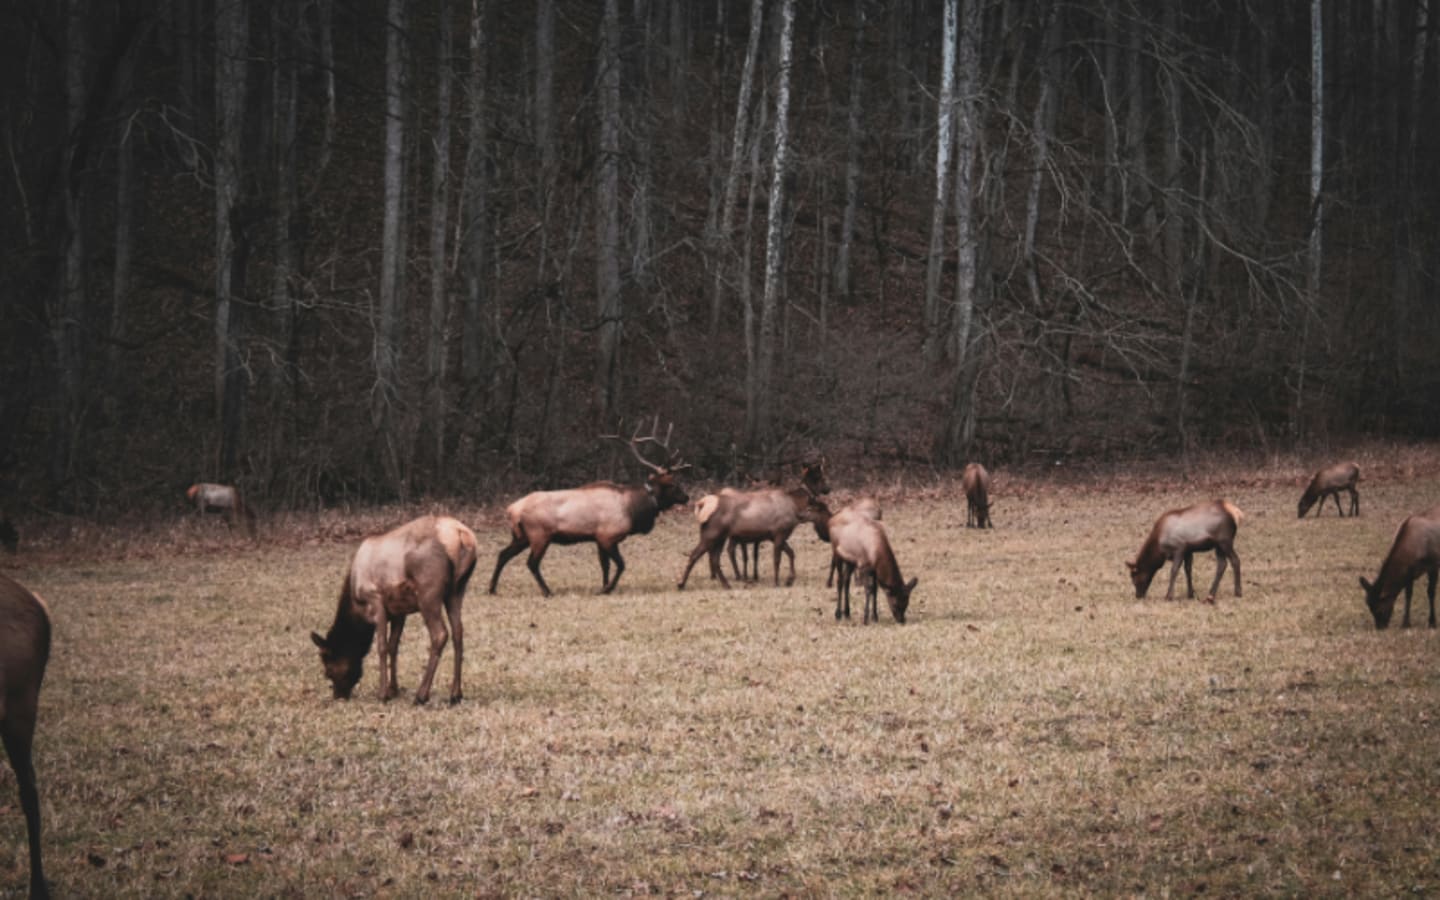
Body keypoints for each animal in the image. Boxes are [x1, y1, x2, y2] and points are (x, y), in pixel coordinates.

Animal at [311, 515, 477, 704]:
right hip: (457, 591)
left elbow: (382, 646)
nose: (339, 696)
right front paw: (393, 689)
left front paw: (383, 693)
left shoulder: (375, 599)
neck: (357, 608)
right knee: (458, 633)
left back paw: (421, 695)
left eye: (328, 670)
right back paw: (455, 694)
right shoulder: (399, 611)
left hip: (428, 592)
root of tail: (460, 535)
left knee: (440, 634)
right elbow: (393, 646)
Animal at [489, 422, 690, 597]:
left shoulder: (599, 538)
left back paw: (492, 589)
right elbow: (621, 565)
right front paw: (607, 588)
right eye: (673, 484)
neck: (633, 510)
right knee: (532, 563)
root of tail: (512, 510)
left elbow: (605, 566)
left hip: (521, 537)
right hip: (540, 535)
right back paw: (547, 591)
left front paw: (604, 586)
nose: (687, 497)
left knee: (502, 554)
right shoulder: (608, 537)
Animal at [677, 483, 832, 590]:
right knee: (694, 555)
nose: (831, 518)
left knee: (714, 559)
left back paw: (726, 584)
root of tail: (701, 504)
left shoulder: (774, 537)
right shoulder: (779, 534)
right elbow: (777, 560)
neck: (796, 511)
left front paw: (790, 580)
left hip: (720, 537)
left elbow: (791, 553)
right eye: (821, 509)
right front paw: (777, 582)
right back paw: (681, 584)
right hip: (712, 535)